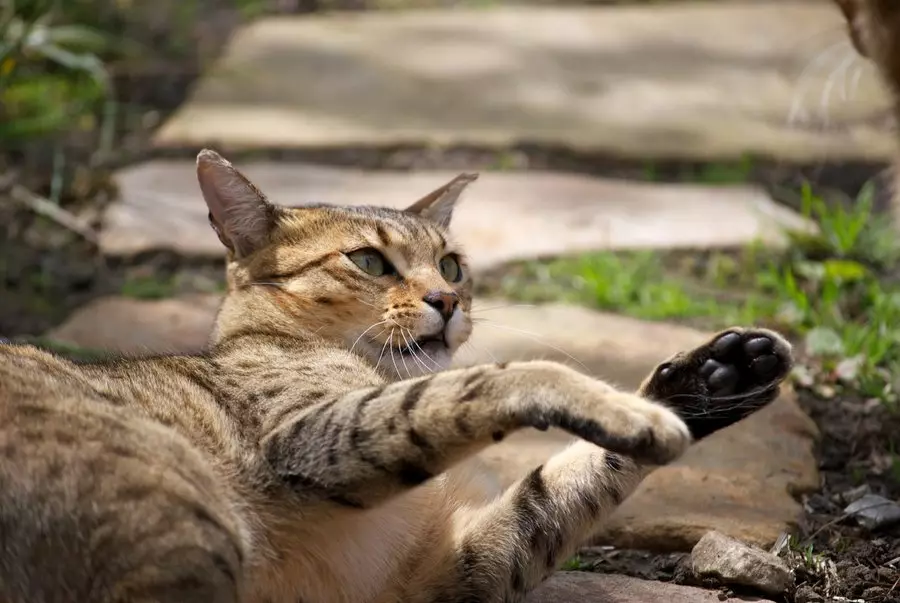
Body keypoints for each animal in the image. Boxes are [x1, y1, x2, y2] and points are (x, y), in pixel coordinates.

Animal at [0, 147, 792, 603]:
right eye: (369, 261)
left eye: (451, 264)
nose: (449, 300)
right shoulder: (309, 437)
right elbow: (495, 379)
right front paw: (626, 405)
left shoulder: (452, 570)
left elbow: (556, 489)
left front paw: (710, 378)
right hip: (185, 516)